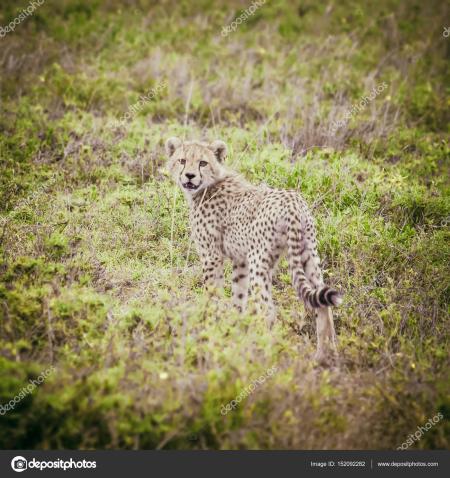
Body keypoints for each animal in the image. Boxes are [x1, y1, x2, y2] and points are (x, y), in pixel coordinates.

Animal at [165, 136, 342, 360]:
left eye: (202, 163)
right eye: (182, 160)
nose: (189, 175)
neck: (209, 185)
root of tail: (293, 200)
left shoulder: (212, 256)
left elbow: (211, 296)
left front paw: (210, 329)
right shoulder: (240, 260)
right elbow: (238, 297)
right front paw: (234, 331)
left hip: (260, 262)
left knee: (268, 310)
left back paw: (266, 354)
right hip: (308, 255)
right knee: (323, 304)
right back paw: (325, 355)